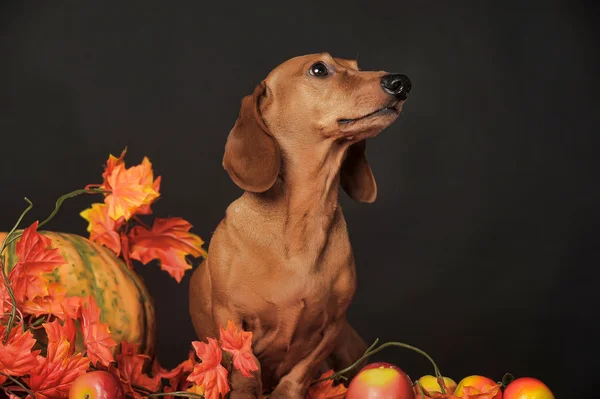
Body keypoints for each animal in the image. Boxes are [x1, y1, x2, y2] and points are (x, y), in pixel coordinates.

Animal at [190, 53, 410, 399]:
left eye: (357, 66)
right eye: (318, 69)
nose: (401, 83)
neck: (303, 223)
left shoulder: (334, 325)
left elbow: (302, 370)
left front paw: (286, 392)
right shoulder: (230, 317)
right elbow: (244, 366)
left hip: (350, 348)